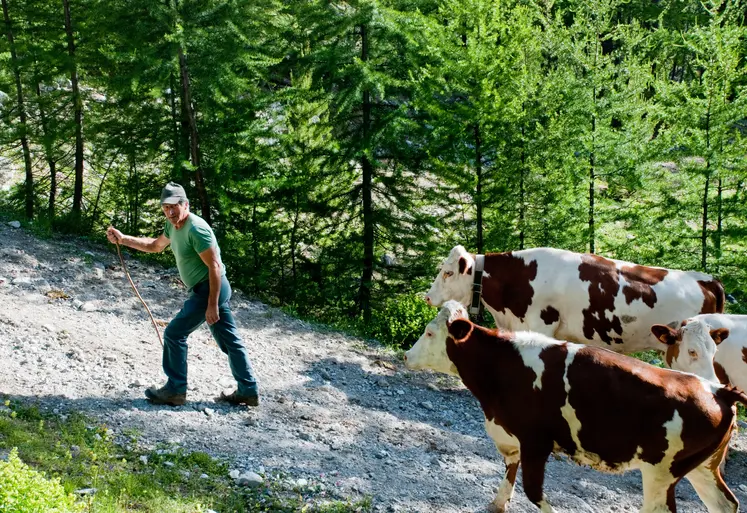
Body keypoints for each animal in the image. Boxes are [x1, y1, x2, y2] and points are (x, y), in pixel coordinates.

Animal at [405, 301, 747, 513]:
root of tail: (718, 390)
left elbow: (534, 493)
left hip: (661, 473)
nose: (407, 356)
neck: (503, 365)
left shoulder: (536, 442)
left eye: (430, 332)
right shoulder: (512, 438)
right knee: (726, 504)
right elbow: (509, 475)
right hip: (701, 468)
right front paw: (497, 504)